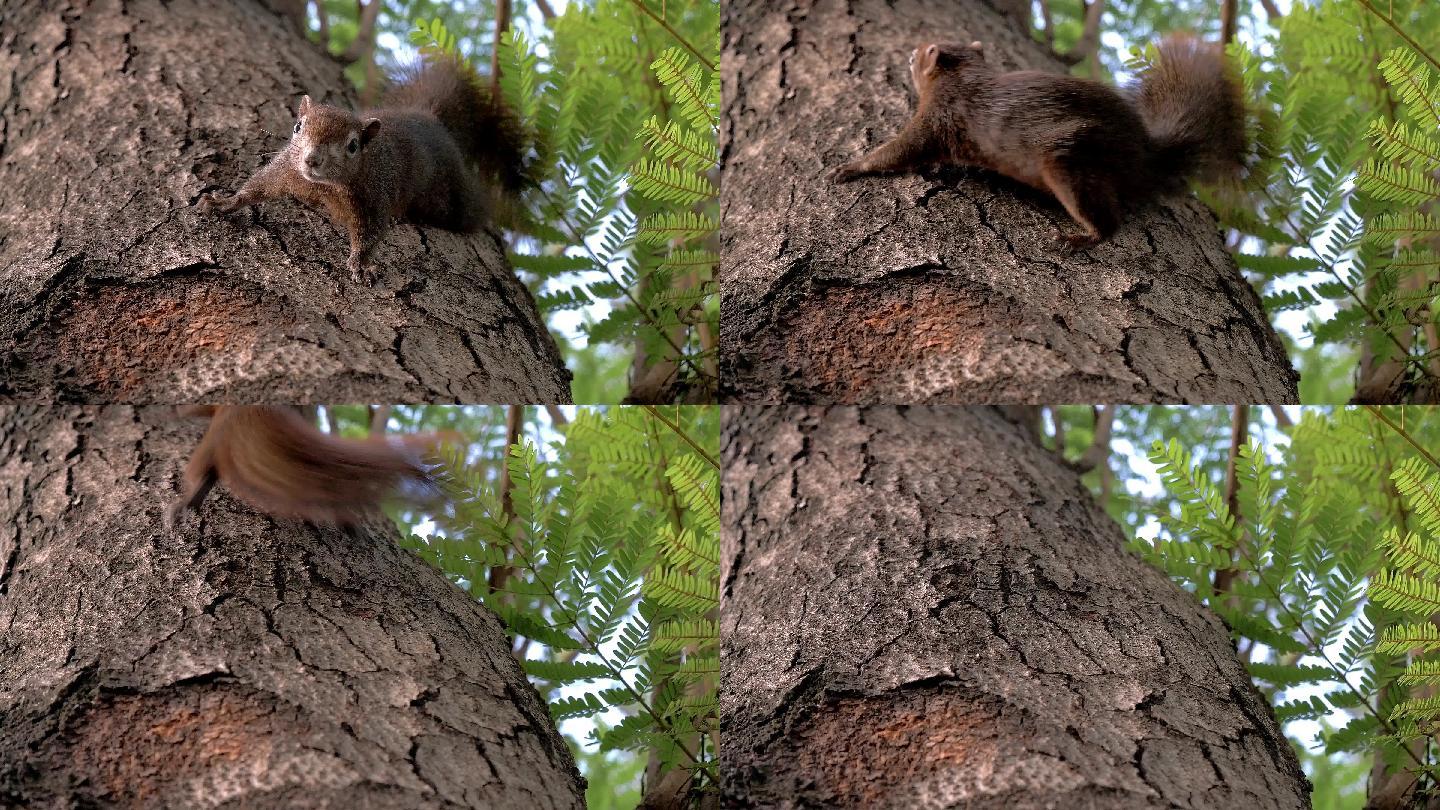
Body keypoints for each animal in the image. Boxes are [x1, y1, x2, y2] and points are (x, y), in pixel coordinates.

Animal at [200, 54, 532, 281]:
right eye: (298, 126)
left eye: (352, 146)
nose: (311, 159)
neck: (325, 187)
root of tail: (431, 120)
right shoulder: (288, 169)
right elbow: (260, 185)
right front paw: (224, 202)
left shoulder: (373, 196)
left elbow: (370, 232)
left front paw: (360, 263)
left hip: (452, 198)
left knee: (473, 212)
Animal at [835, 35, 1249, 249]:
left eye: (921, 54)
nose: (908, 53)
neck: (964, 75)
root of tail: (1147, 157)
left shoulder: (938, 118)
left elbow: (901, 149)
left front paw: (851, 167)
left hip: (1070, 163)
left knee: (1107, 221)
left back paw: (1080, 238)